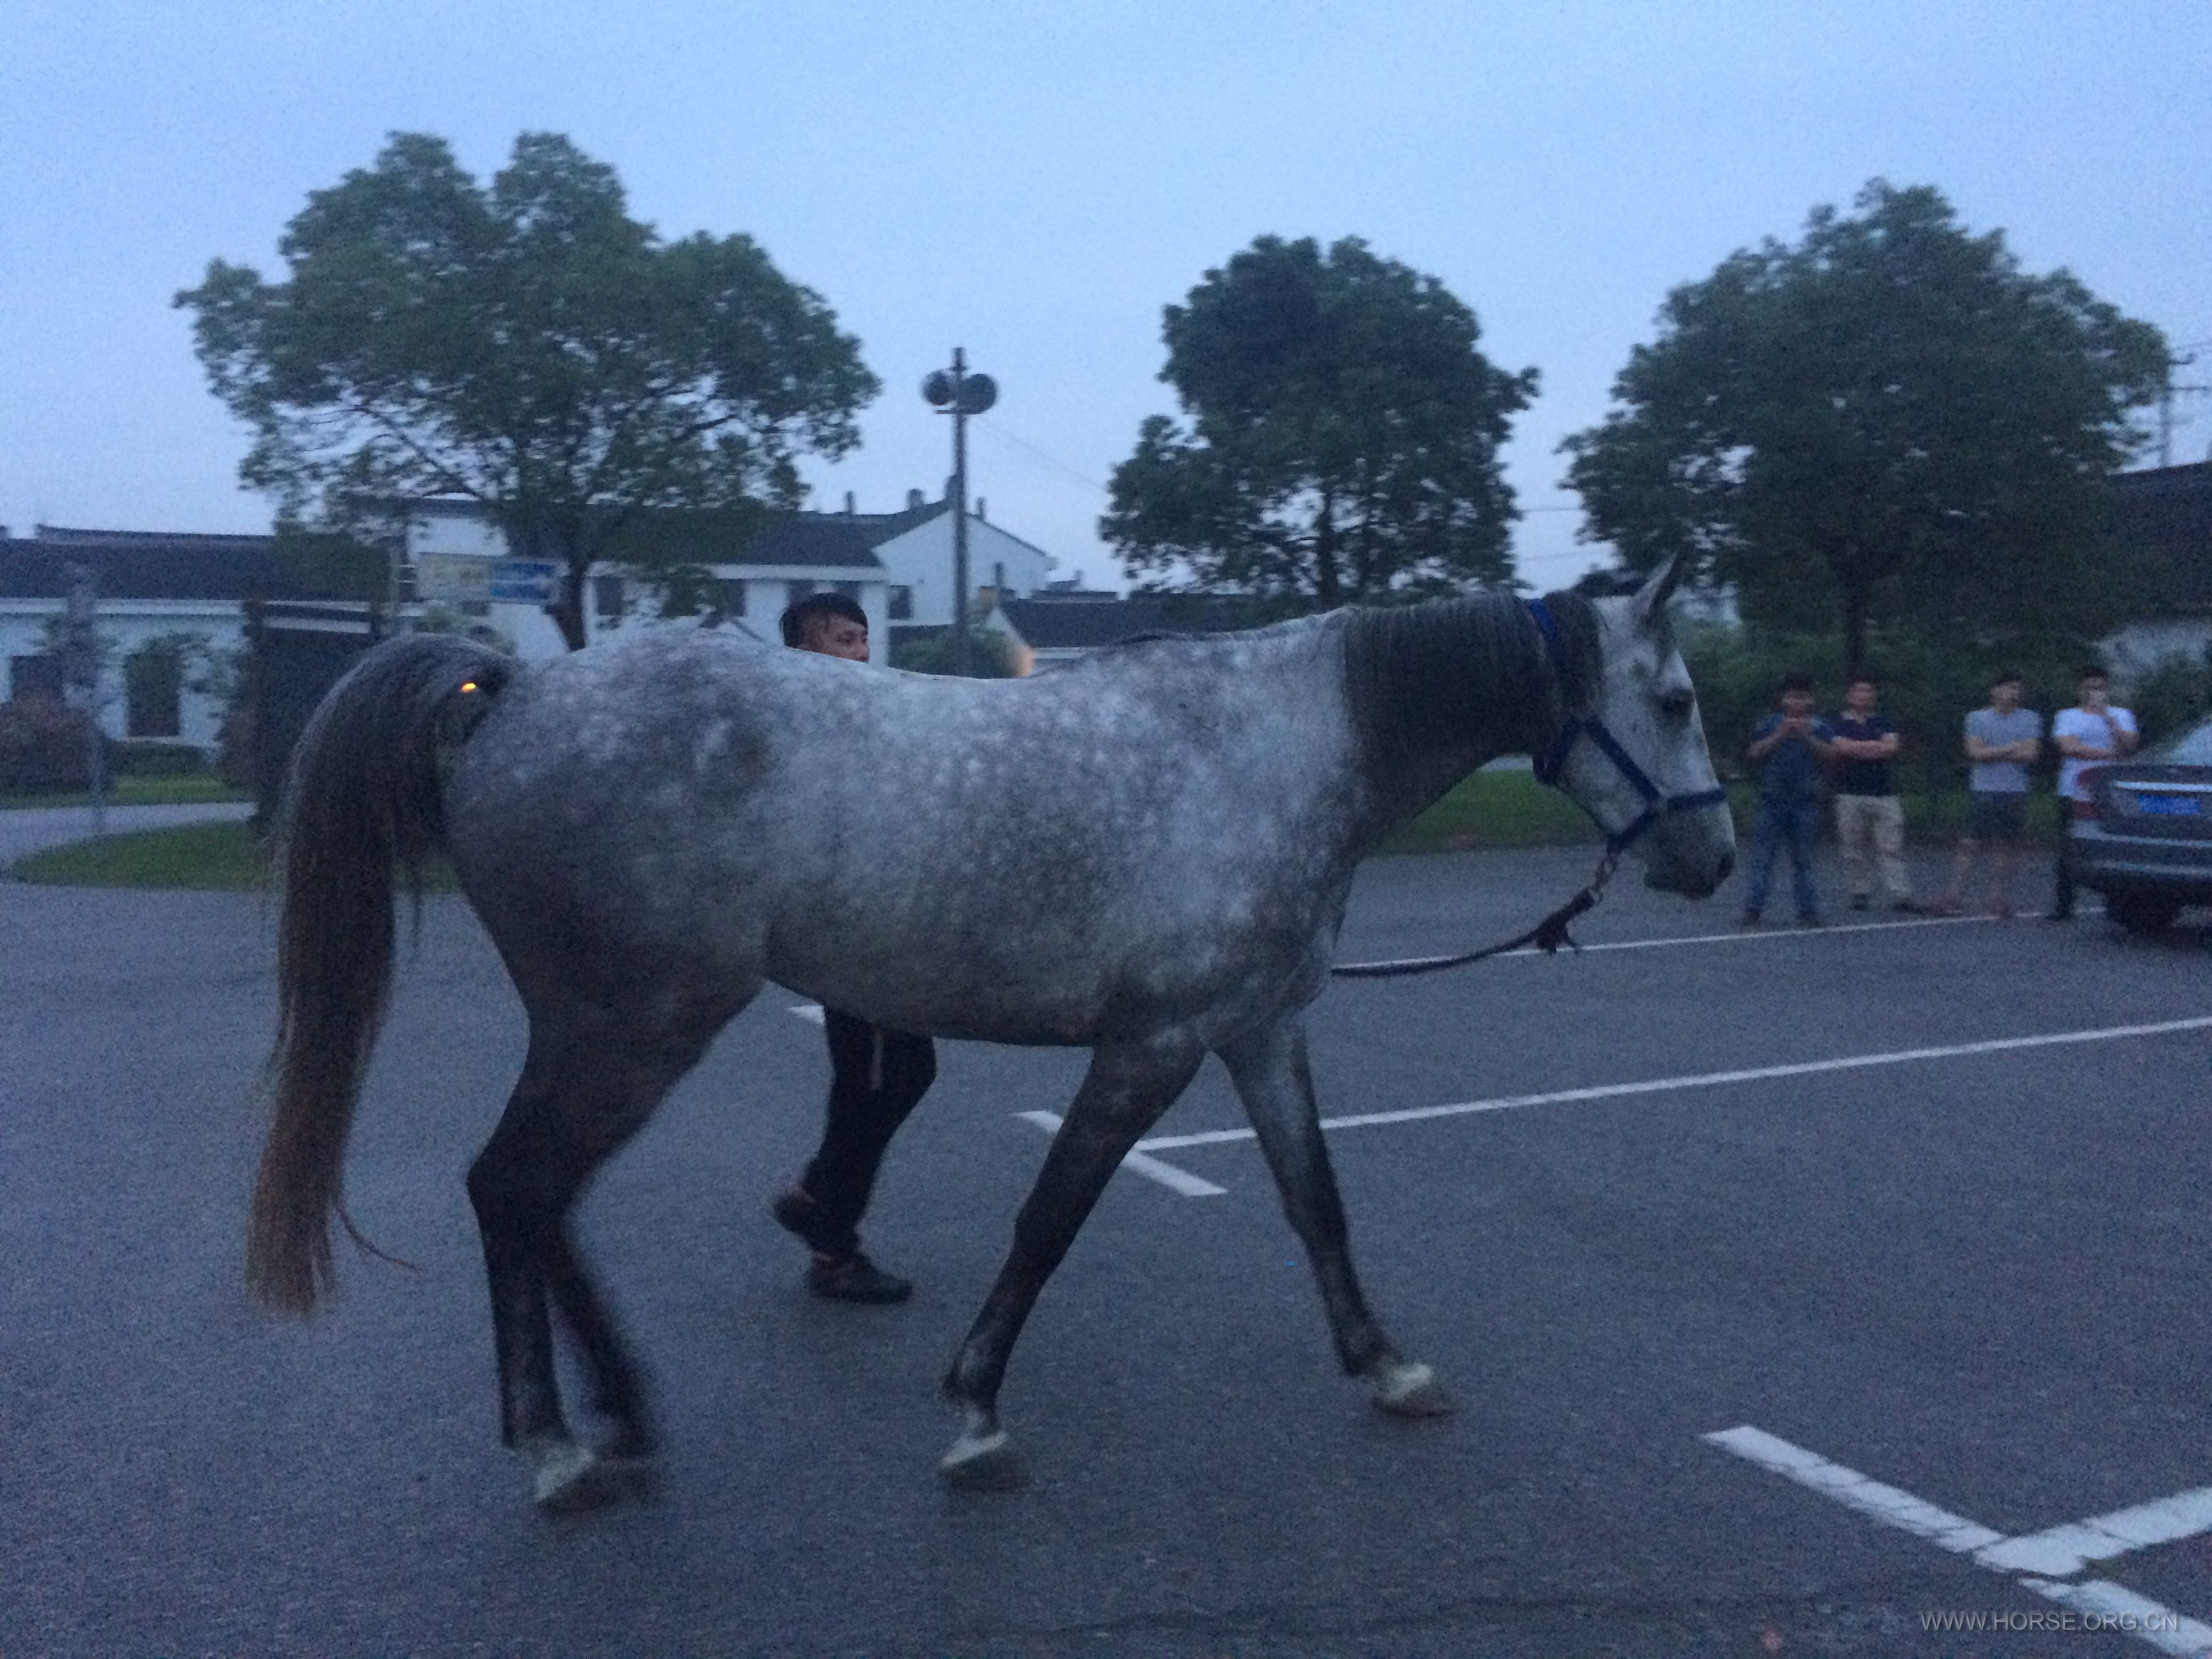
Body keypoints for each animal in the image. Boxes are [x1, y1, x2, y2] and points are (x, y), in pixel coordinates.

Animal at [242, 562, 1725, 1521]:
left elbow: (1318, 1203)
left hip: (614, 1031)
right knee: (515, 1187)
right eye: (1674, 697)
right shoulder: (1152, 1046)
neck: (1270, 750)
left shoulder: (1258, 1032)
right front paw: (974, 1416)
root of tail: (511, 690)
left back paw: (621, 1416)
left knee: (538, 1198)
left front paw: (1387, 1364)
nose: (1709, 858)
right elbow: (1049, 1219)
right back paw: (557, 1447)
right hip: (632, 1026)